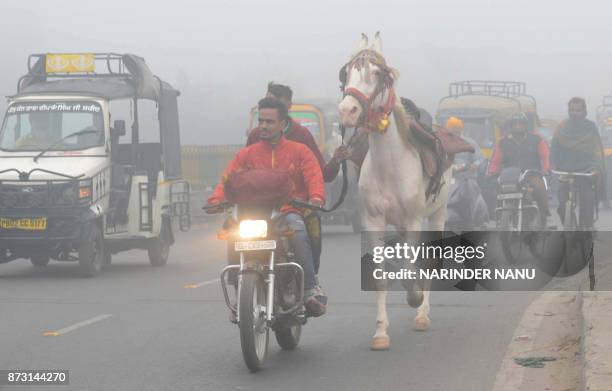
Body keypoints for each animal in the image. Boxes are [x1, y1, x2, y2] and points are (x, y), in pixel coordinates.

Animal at [338, 33, 452, 352]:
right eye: (346, 74)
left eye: (377, 73)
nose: (347, 111)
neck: (390, 165)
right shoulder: (373, 220)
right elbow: (380, 277)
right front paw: (380, 332)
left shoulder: (414, 219)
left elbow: (412, 271)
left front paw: (415, 298)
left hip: (437, 213)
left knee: (430, 259)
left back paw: (422, 314)